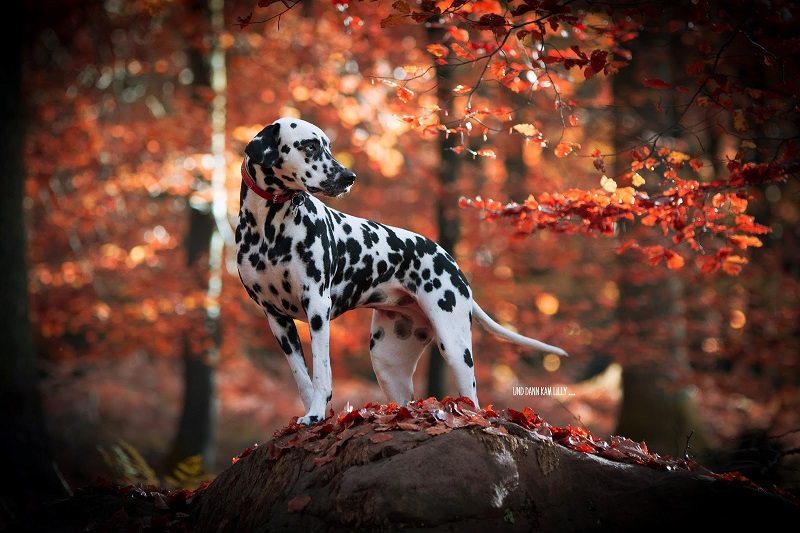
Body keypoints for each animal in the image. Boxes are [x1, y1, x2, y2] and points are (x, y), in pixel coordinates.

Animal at [238, 116, 568, 424]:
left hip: (455, 347)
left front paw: (317, 414)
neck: (268, 229)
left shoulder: (318, 308)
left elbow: (321, 374)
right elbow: (302, 379)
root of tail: (452, 263)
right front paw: (310, 417)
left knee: (473, 401)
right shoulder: (277, 320)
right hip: (388, 363)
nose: (349, 177)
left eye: (327, 145)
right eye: (309, 146)